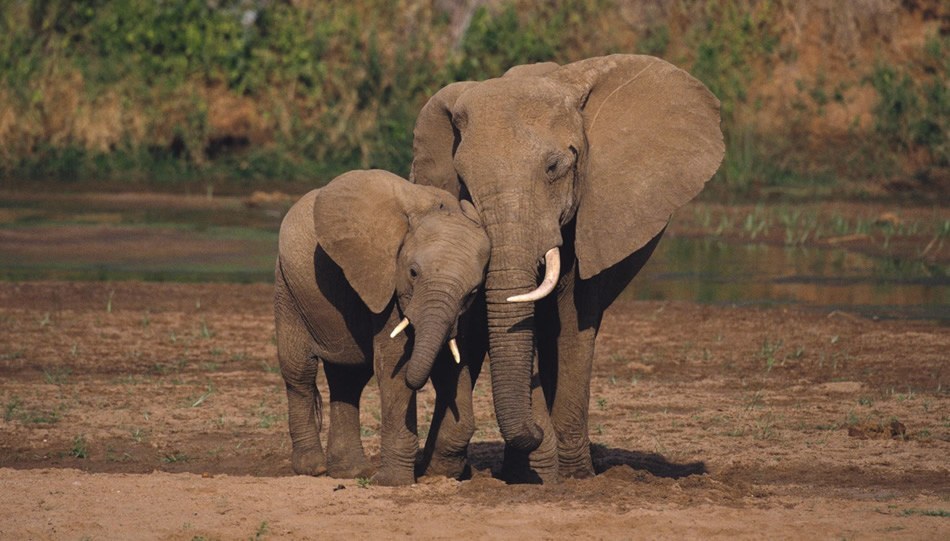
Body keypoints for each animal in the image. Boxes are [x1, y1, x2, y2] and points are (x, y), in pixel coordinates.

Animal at [274, 169, 490, 486]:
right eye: (413, 273)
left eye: (473, 291)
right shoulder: (386, 282)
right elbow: (393, 366)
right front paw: (393, 482)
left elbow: (452, 364)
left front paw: (442, 474)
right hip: (288, 289)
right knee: (299, 372)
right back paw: (314, 469)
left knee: (348, 379)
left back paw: (350, 472)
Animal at [409, 54, 724, 482]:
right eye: (463, 181)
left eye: (554, 167)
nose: (536, 431)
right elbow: (478, 323)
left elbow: (574, 321)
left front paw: (570, 475)